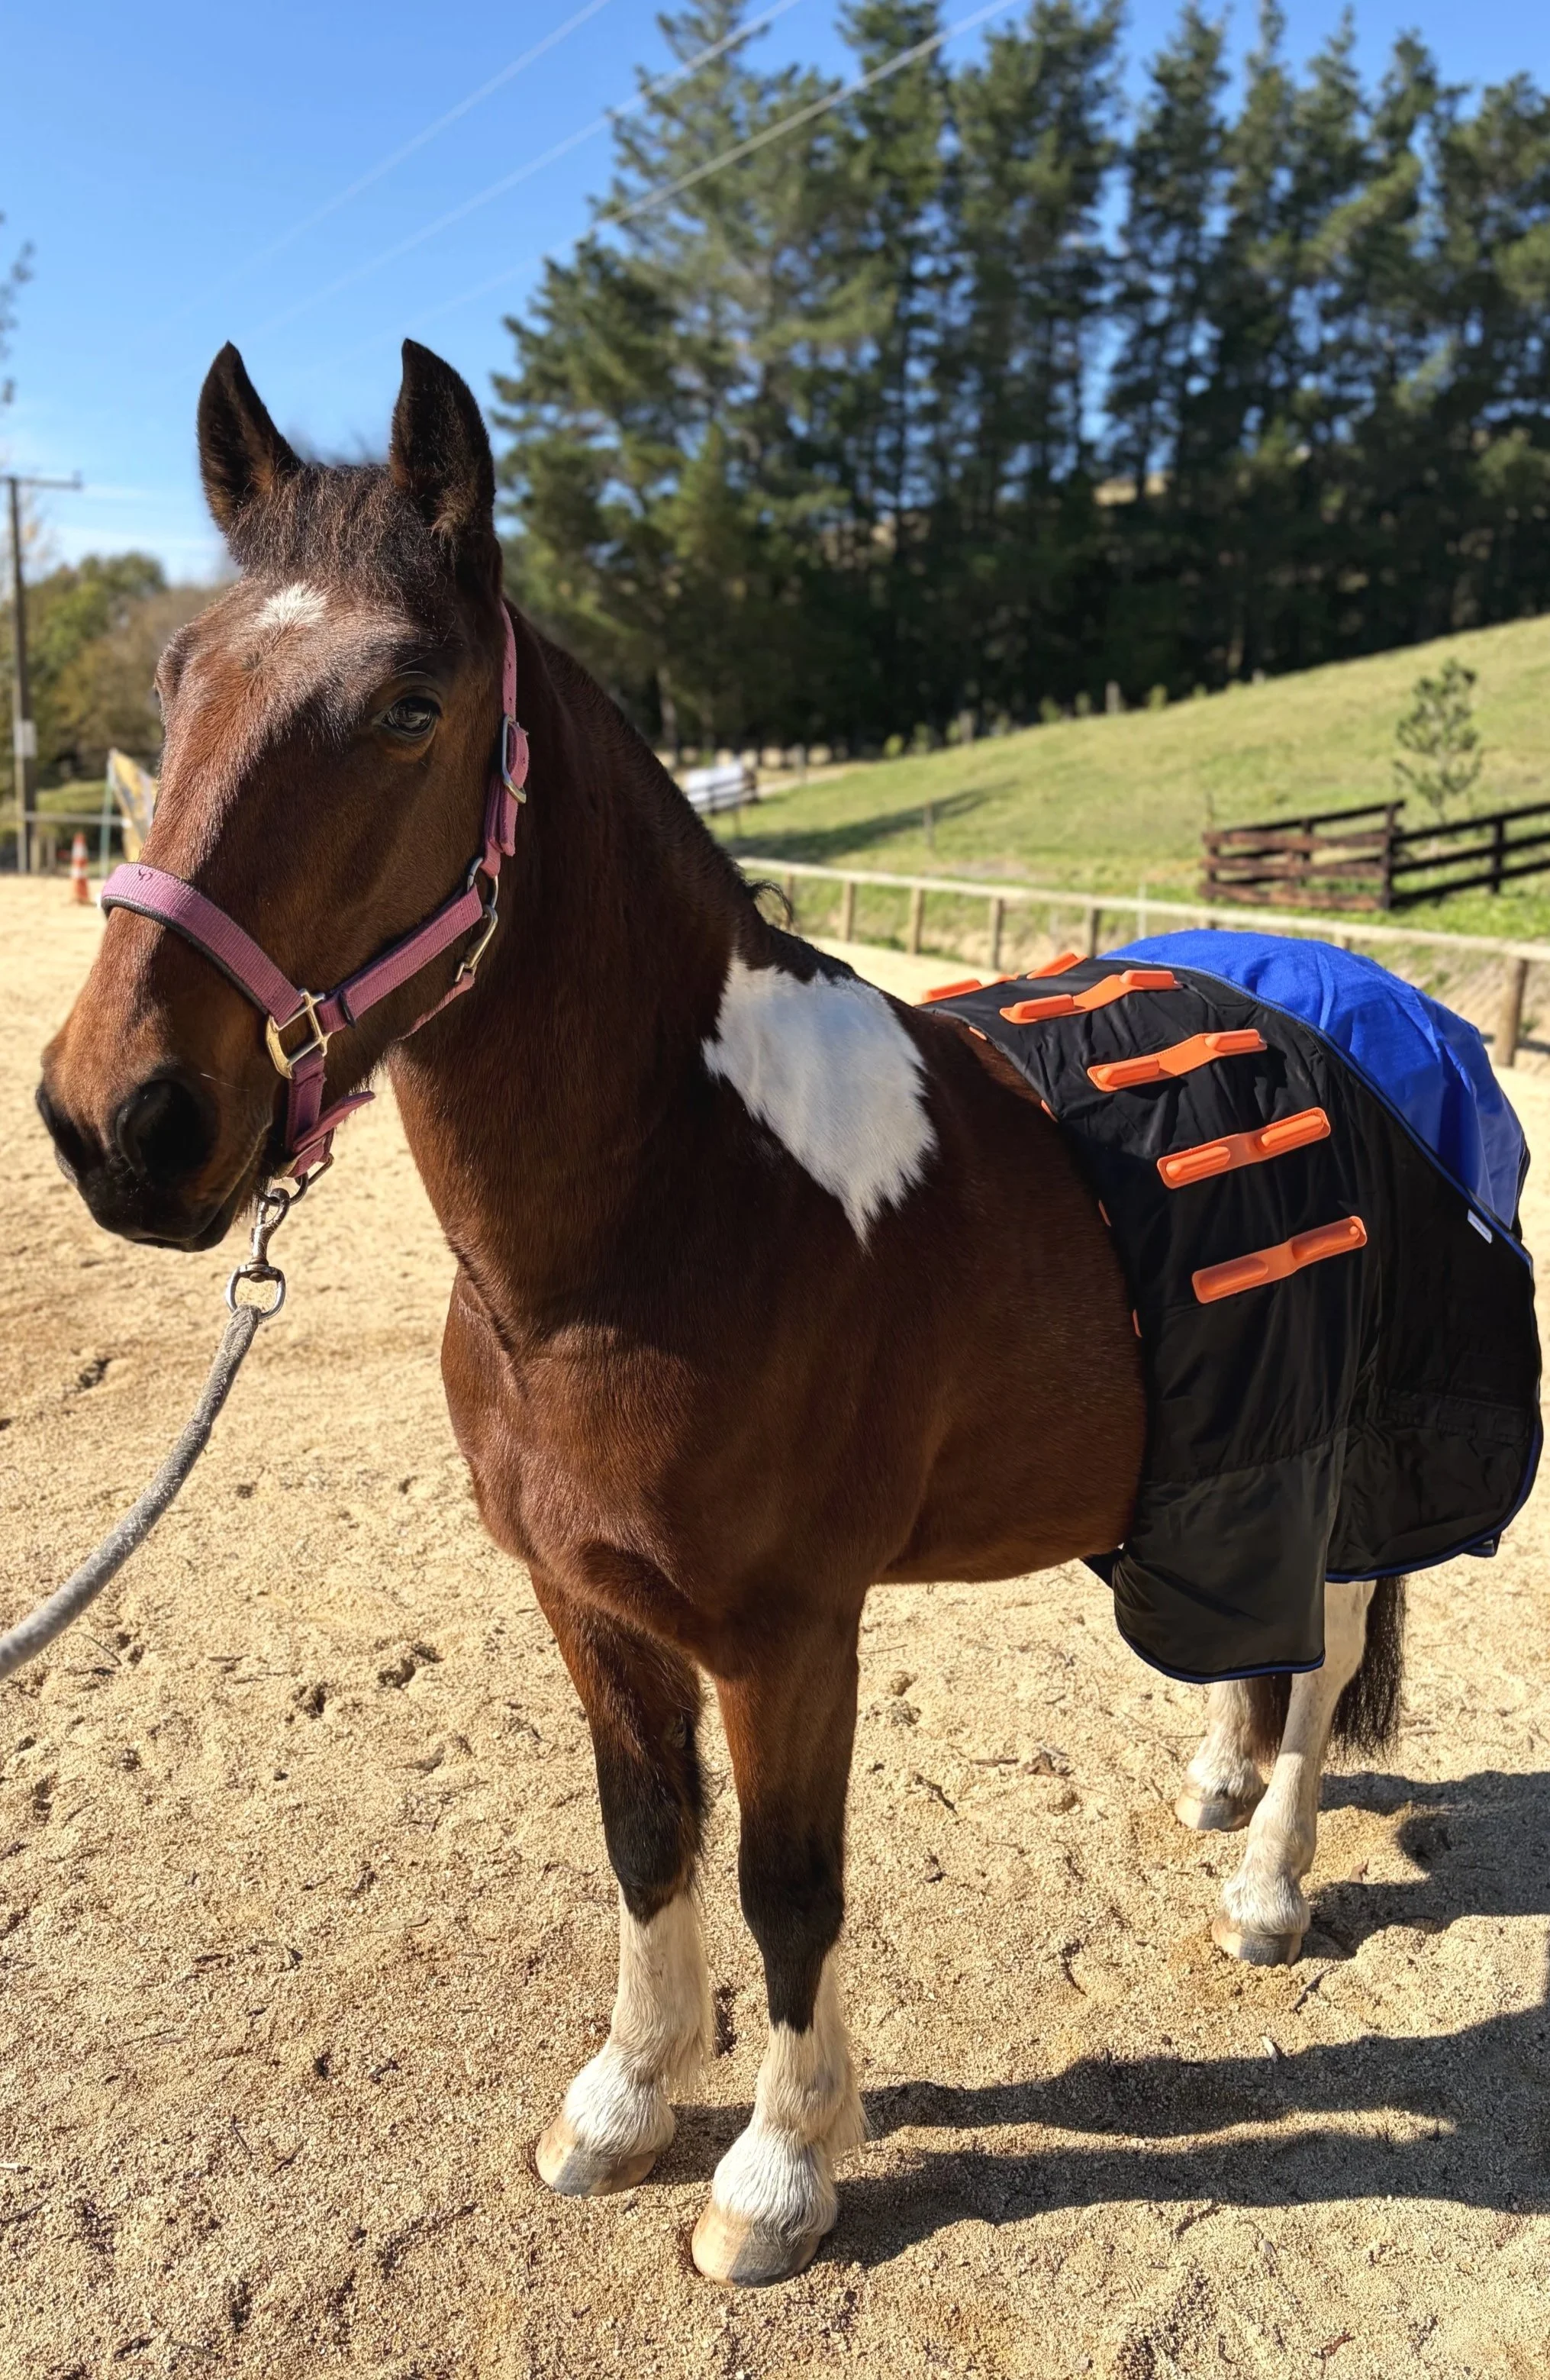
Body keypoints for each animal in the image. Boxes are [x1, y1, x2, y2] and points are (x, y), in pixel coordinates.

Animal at [35, 340, 1405, 2287]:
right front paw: (625, 2099)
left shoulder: (789, 1634)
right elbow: (648, 1839)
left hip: (1344, 1463)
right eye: (176, 682)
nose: (120, 1121)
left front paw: (775, 2164)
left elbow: (788, 1882)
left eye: (410, 706)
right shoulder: (590, 1605)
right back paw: (1221, 1796)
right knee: (1264, 1643)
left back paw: (1268, 1885)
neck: (668, 1225)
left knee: (1329, 1656)